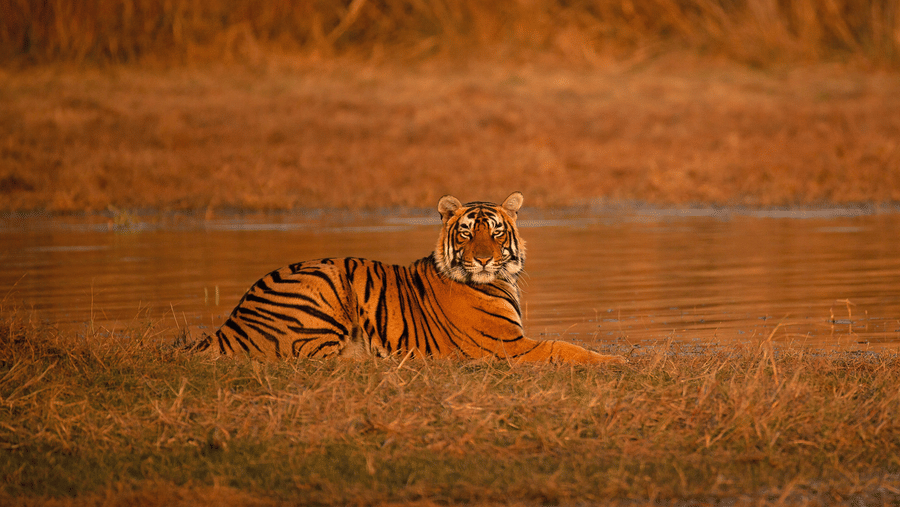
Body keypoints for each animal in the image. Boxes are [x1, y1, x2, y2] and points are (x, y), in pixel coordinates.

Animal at [190, 192, 626, 365]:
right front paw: (617, 361)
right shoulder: (508, 346)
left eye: (497, 232)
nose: (484, 260)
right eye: (467, 233)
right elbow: (564, 347)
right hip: (324, 284)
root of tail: (230, 321)